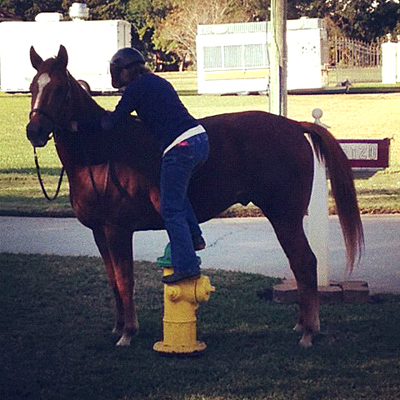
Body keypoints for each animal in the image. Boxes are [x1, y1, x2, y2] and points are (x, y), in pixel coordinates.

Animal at [25, 46, 362, 346]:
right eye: (32, 87)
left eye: (59, 89)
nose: (34, 131)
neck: (103, 150)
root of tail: (294, 125)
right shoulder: (100, 233)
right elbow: (112, 280)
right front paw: (119, 326)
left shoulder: (118, 231)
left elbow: (124, 280)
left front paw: (128, 332)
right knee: (299, 264)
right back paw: (303, 324)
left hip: (285, 216)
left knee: (304, 263)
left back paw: (309, 331)